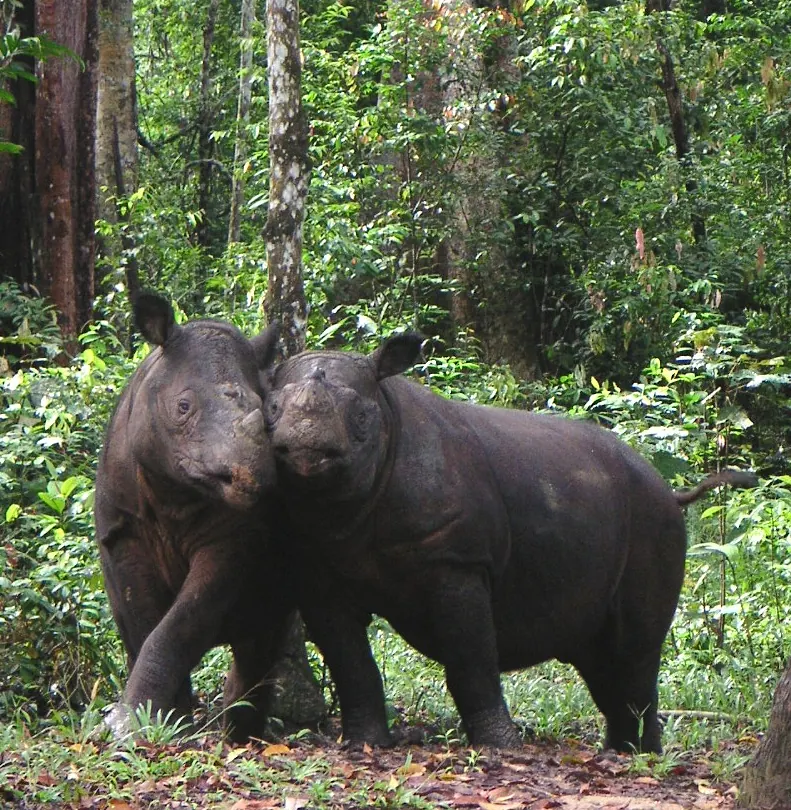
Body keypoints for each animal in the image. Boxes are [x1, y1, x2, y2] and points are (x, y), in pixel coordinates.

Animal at [94, 293, 293, 741]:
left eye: (266, 411)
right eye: (182, 407)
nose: (251, 477)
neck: (175, 492)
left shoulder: (235, 537)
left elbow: (181, 624)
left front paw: (138, 722)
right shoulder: (122, 528)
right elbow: (142, 621)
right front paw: (150, 721)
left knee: (263, 633)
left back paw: (241, 733)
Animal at [264, 334, 757, 753]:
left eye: (363, 417)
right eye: (270, 409)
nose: (305, 448)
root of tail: (671, 490)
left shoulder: (458, 561)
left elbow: (471, 659)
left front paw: (499, 748)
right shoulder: (320, 569)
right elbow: (350, 662)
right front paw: (364, 744)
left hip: (653, 517)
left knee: (634, 648)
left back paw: (638, 758)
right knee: (601, 657)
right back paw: (623, 753)